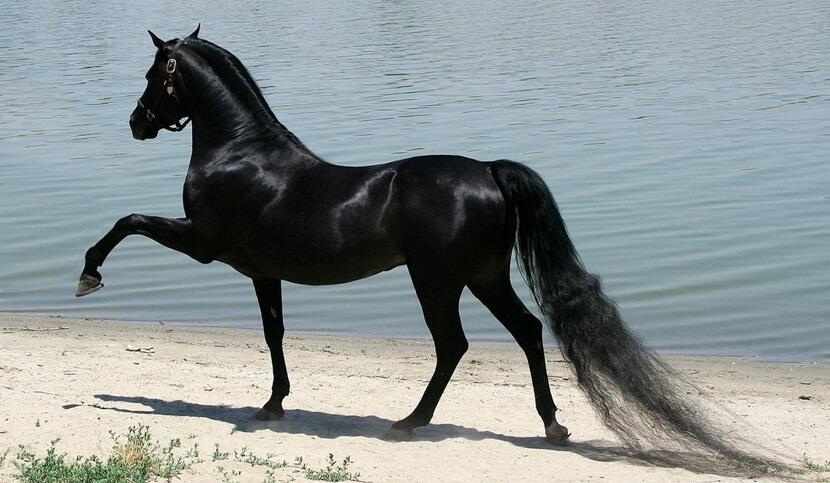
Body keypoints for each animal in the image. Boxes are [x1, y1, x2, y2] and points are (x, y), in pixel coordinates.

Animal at [76, 26, 771, 465]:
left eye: (153, 74)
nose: (136, 123)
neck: (242, 153)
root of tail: (488, 170)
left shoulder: (203, 243)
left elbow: (128, 220)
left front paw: (89, 275)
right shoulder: (260, 271)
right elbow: (274, 334)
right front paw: (273, 404)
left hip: (437, 280)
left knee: (454, 345)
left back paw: (410, 423)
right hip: (483, 277)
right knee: (526, 332)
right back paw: (551, 425)